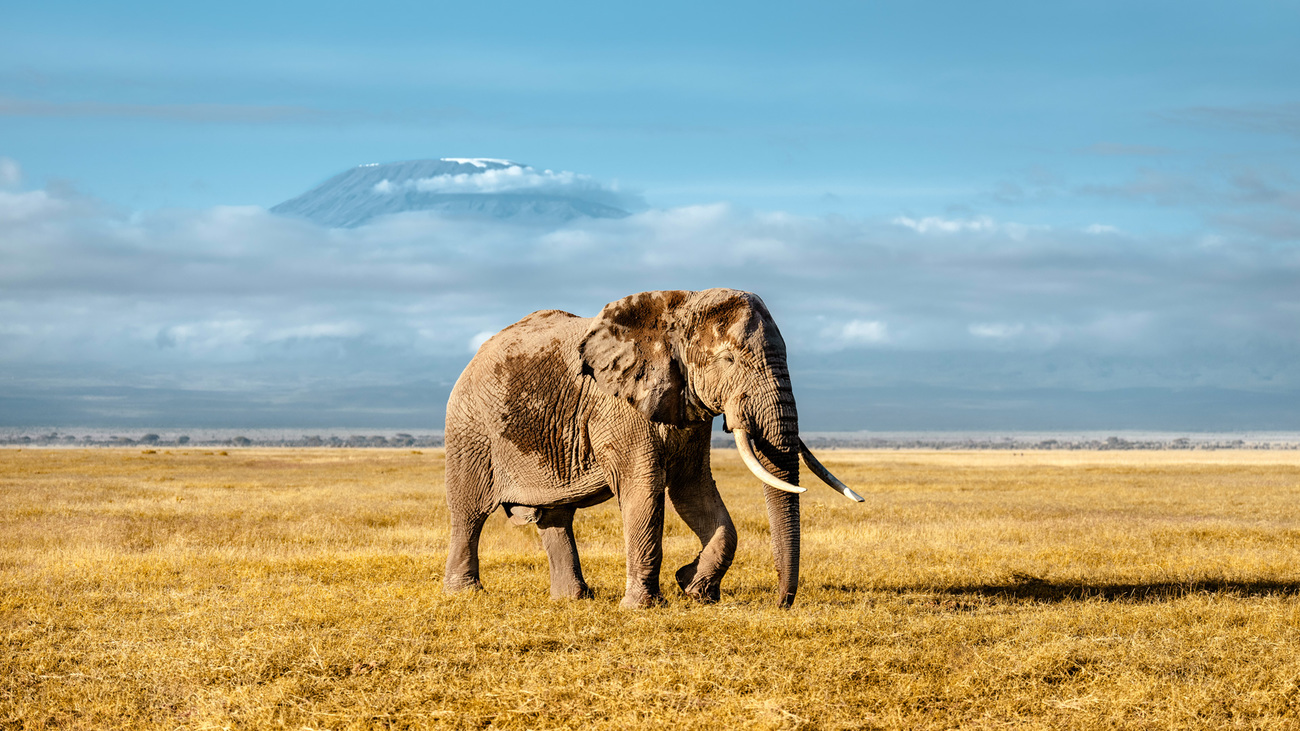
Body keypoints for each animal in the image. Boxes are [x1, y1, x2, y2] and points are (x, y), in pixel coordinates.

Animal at [441, 287, 857, 606]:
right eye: (728, 359)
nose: (781, 602)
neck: (677, 311)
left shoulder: (688, 403)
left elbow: (693, 490)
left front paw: (694, 588)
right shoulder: (618, 408)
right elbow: (645, 490)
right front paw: (644, 606)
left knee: (555, 516)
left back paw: (573, 599)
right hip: (469, 430)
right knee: (469, 513)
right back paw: (465, 593)